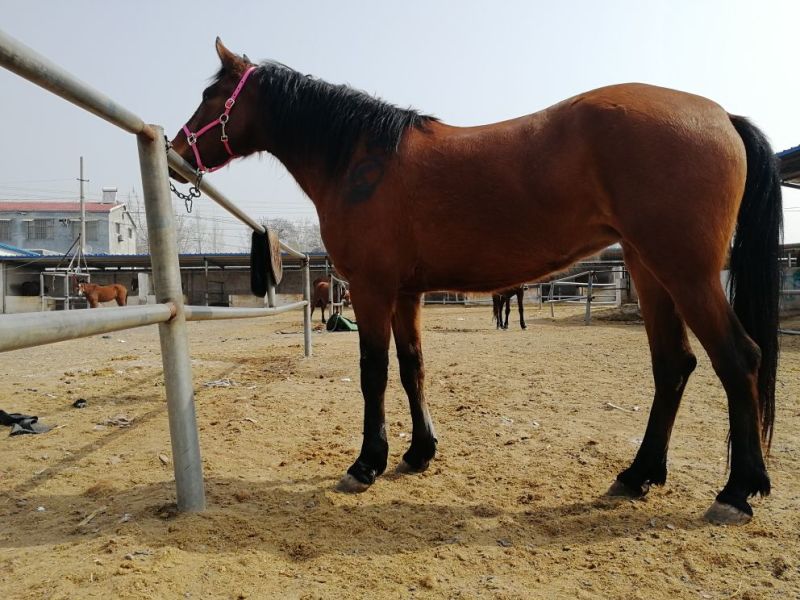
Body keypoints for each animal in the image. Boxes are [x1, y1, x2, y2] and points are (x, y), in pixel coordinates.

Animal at [170, 38, 782, 524]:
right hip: (650, 270)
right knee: (674, 365)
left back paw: (736, 492)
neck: (365, 162)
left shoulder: (371, 288)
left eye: (209, 95)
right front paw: (419, 453)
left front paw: (367, 463)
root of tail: (720, 115)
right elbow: (413, 369)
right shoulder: (406, 293)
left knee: (739, 358)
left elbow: (374, 372)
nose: (177, 152)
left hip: (686, 272)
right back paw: (638, 475)